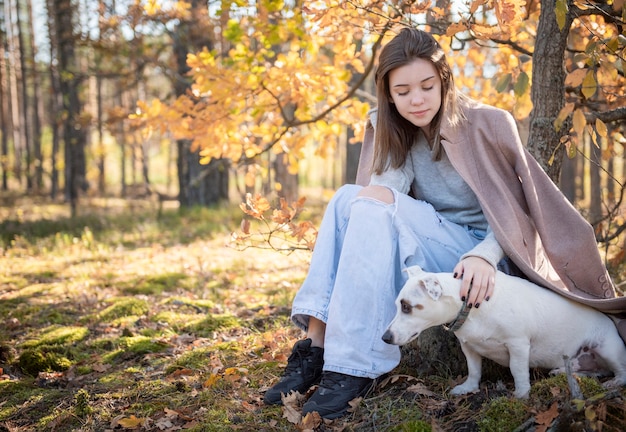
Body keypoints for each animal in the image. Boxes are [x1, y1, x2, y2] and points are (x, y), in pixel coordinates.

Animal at [380, 266, 624, 398]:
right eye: (398, 304)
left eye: (407, 306)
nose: (385, 337)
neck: (473, 306)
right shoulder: (468, 347)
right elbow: (474, 370)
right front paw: (468, 388)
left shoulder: (518, 344)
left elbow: (518, 370)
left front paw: (522, 393)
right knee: (591, 371)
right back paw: (564, 371)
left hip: (608, 349)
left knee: (620, 373)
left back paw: (613, 382)